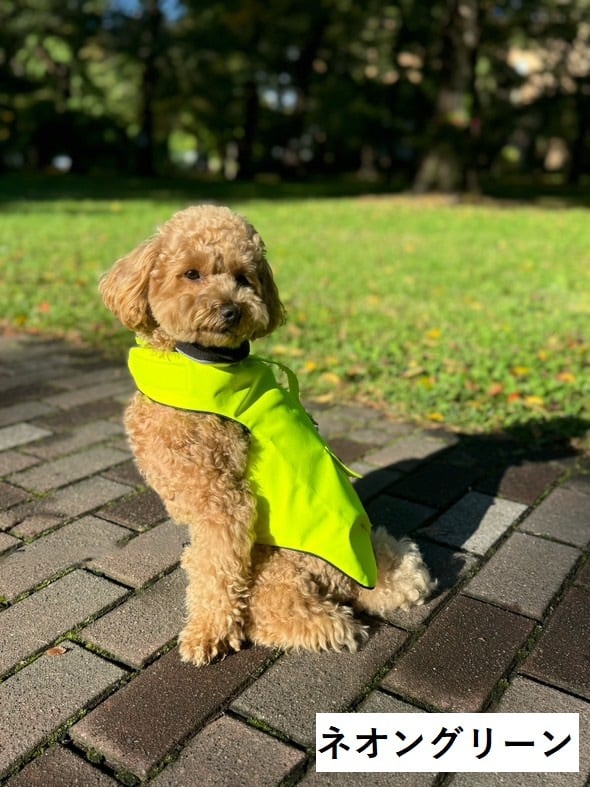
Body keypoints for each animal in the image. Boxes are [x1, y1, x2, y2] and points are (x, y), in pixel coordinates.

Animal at [99, 204, 434, 665]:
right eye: (191, 274)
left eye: (244, 278)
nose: (231, 311)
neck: (199, 359)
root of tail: (360, 581)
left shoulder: (225, 503)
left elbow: (218, 574)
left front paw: (207, 634)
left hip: (276, 563)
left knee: (290, 615)